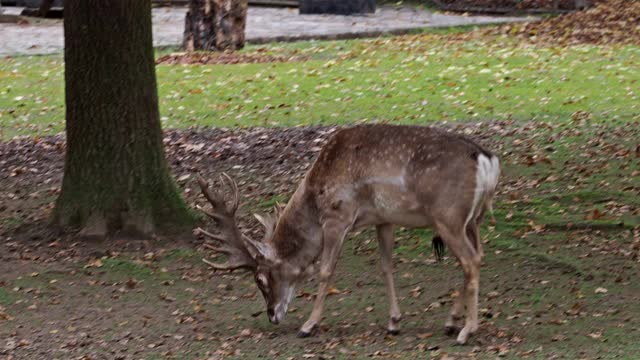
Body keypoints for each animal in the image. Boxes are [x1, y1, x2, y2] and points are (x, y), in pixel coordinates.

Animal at [195, 125, 500, 344]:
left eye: (260, 278)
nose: (272, 315)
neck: (314, 195)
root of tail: (487, 160)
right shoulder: (383, 219)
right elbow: (386, 266)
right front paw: (393, 322)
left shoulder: (337, 216)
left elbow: (325, 270)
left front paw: (308, 325)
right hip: (472, 219)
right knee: (478, 256)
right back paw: (451, 322)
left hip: (448, 216)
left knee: (470, 260)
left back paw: (466, 331)